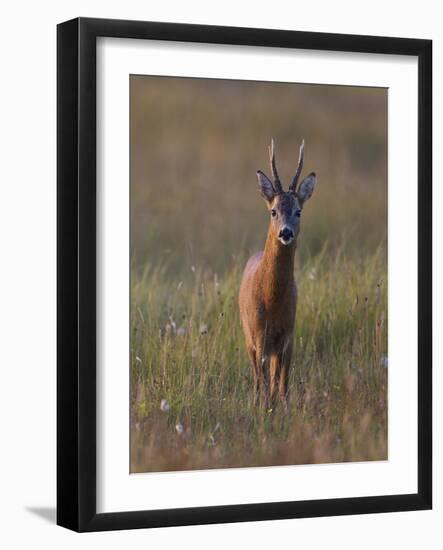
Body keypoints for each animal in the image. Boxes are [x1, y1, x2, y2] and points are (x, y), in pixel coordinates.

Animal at [239, 140, 316, 412]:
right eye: (273, 211)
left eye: (298, 211)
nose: (285, 233)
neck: (271, 299)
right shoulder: (259, 335)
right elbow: (264, 384)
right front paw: (264, 410)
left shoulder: (288, 336)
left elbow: (282, 384)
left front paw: (282, 410)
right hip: (248, 336)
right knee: (257, 379)